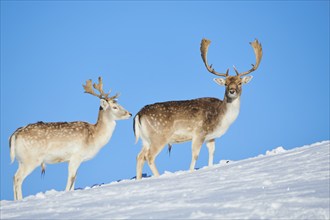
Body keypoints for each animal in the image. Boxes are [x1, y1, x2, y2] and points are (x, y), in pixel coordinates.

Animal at [134, 38, 262, 179]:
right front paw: (191, 172)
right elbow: (195, 155)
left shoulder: (211, 137)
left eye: (240, 83)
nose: (232, 91)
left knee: (139, 156)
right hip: (159, 136)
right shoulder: (199, 133)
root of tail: (139, 114)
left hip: (145, 139)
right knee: (149, 156)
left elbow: (212, 152)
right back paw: (158, 177)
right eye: (226, 84)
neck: (222, 119)